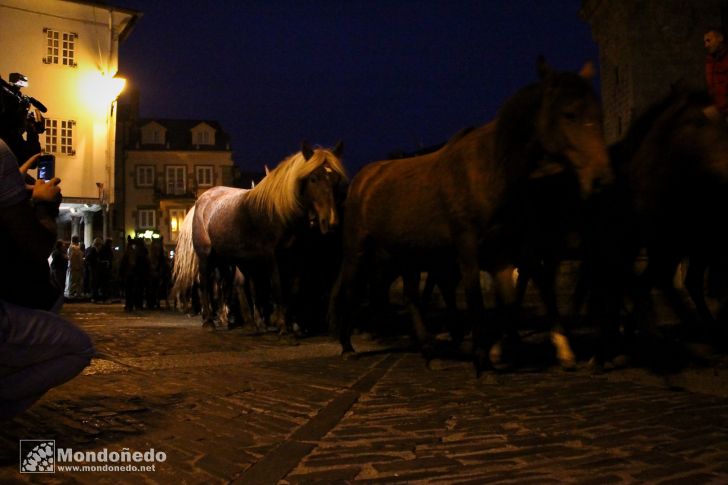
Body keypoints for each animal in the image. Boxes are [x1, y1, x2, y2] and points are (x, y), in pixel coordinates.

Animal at [175, 140, 348, 328]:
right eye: (313, 178)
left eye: (336, 180)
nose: (330, 222)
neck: (280, 212)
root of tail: (201, 200)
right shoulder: (271, 257)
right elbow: (276, 287)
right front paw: (282, 325)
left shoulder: (293, 257)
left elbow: (291, 288)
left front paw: (291, 323)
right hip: (206, 255)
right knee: (206, 284)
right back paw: (210, 321)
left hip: (224, 258)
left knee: (224, 284)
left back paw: (229, 319)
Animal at [332, 57, 616, 374]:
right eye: (569, 114)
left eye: (599, 115)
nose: (602, 179)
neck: (487, 170)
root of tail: (363, 179)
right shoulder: (468, 250)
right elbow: (477, 302)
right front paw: (485, 361)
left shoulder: (504, 255)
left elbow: (508, 302)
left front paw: (504, 350)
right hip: (358, 250)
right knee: (351, 291)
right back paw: (348, 347)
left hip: (408, 254)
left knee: (410, 298)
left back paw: (428, 351)